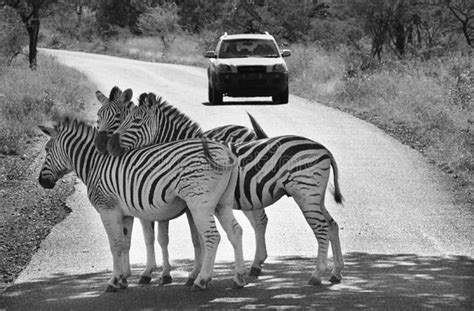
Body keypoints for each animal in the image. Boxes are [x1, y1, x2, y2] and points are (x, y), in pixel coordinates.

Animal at [36, 117, 248, 292]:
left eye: (46, 150)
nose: (41, 182)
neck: (95, 164)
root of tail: (226, 151)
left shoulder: (108, 209)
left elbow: (115, 244)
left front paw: (113, 281)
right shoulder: (125, 213)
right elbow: (125, 243)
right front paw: (123, 279)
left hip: (200, 204)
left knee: (212, 237)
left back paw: (201, 281)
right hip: (222, 203)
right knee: (235, 231)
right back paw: (239, 278)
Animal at [94, 86, 270, 286]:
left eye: (120, 117)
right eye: (98, 116)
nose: (104, 146)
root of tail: (248, 130)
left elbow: (175, 238)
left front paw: (154, 273)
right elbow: (159, 237)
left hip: (247, 191)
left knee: (260, 221)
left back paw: (255, 264)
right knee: (256, 222)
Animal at [106, 93, 344, 288]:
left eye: (135, 121)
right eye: (124, 119)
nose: (110, 146)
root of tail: (323, 149)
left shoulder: (193, 204)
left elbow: (197, 239)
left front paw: (193, 275)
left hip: (305, 194)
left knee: (320, 228)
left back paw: (315, 275)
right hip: (315, 196)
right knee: (332, 225)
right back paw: (336, 272)